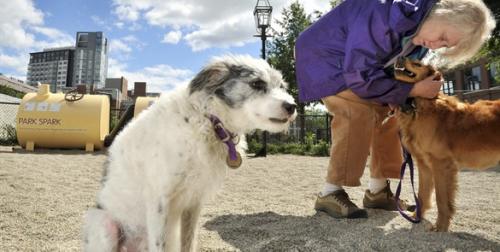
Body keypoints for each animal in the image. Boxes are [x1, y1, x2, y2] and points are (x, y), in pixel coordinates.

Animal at [82, 55, 296, 252]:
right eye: (257, 83)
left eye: (282, 85)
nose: (292, 106)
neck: (207, 120)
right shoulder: (159, 201)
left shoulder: (193, 203)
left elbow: (189, 242)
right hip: (105, 225)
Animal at [394, 58, 500, 232]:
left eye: (417, 64)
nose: (399, 57)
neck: (419, 106)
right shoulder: (423, 164)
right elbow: (422, 194)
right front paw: (417, 216)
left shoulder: (441, 163)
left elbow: (441, 198)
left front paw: (441, 226)